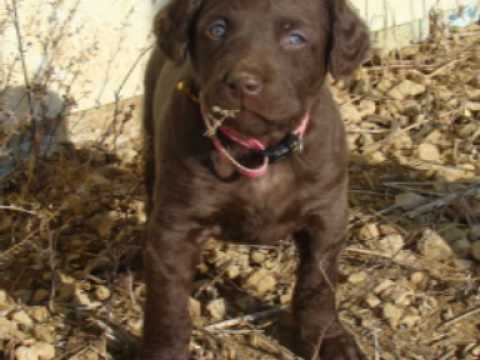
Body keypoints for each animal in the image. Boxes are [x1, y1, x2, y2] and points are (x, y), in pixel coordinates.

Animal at [141, 1, 370, 358]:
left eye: (295, 38)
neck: (258, 149)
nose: (241, 83)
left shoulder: (326, 217)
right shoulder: (176, 228)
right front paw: (164, 351)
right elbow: (167, 303)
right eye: (217, 29)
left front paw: (326, 339)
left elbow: (317, 285)